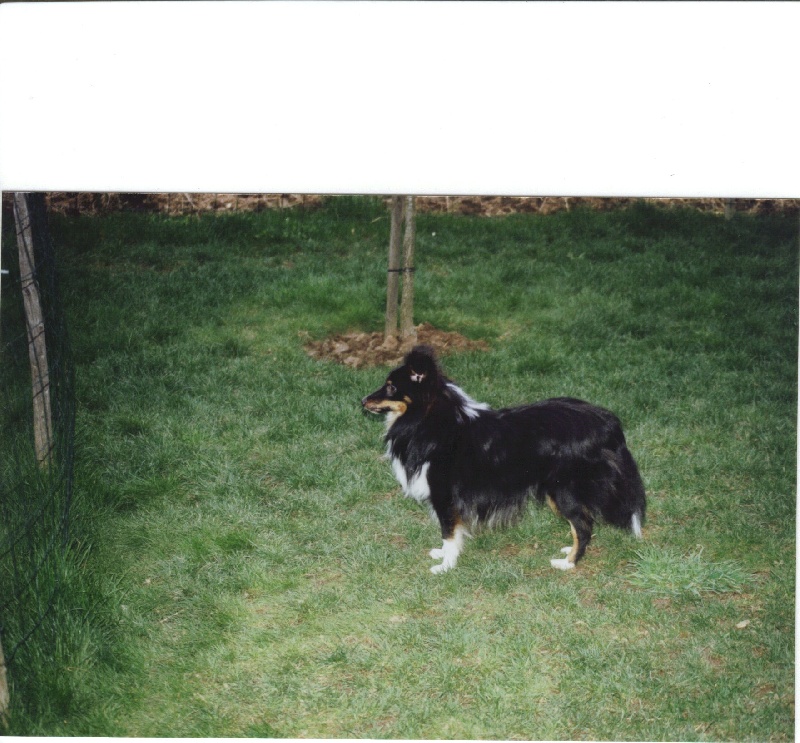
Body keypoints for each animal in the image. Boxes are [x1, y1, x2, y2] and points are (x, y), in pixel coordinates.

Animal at [362, 345, 646, 574]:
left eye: (391, 386)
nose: (363, 400)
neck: (430, 418)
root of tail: (609, 424)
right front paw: (443, 556)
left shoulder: (444, 497)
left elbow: (448, 532)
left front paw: (445, 566)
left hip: (563, 491)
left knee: (584, 525)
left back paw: (568, 563)